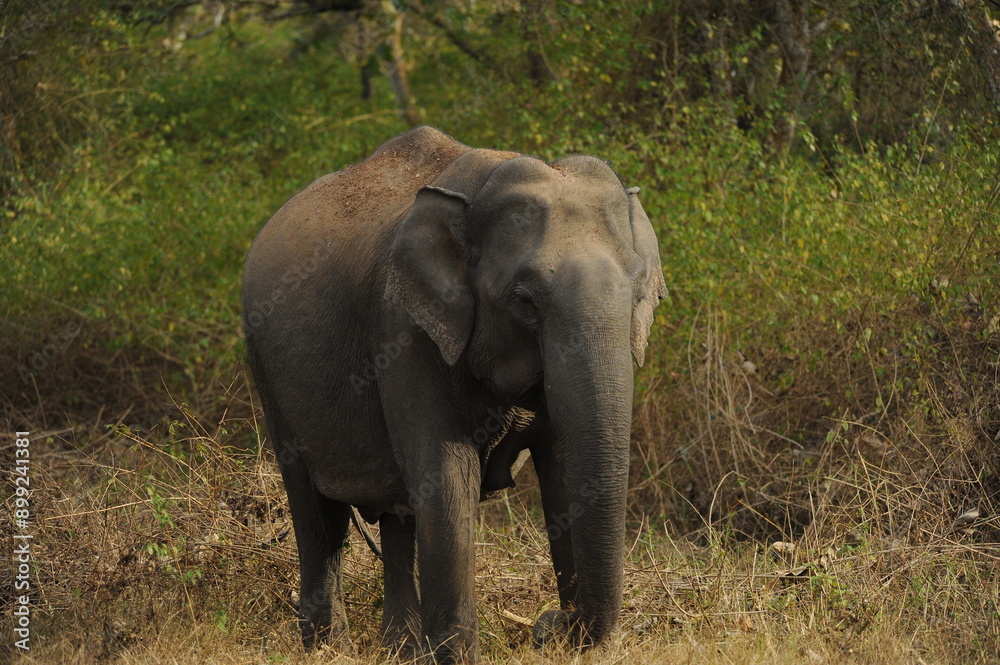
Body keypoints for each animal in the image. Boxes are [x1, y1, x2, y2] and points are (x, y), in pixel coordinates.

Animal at [241, 126, 666, 663]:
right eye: (524, 301)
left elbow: (564, 472)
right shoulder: (403, 329)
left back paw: (399, 651)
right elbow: (446, 473)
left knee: (397, 515)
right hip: (267, 371)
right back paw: (328, 648)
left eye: (639, 294)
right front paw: (457, 656)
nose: (549, 624)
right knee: (318, 514)